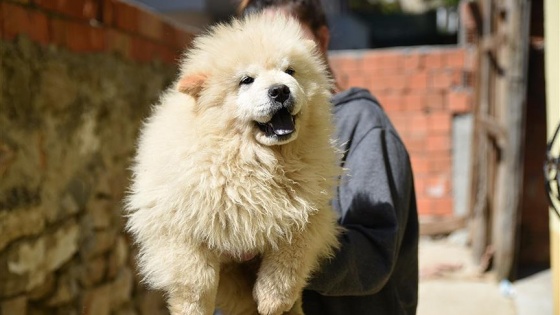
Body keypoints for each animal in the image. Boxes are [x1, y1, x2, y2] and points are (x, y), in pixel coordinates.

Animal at [124, 12, 340, 315]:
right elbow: (196, 282)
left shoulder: (308, 213)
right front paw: (193, 309)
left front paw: (272, 300)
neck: (254, 158)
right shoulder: (177, 227)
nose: (280, 90)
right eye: (246, 80)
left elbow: (288, 259)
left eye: (290, 71)